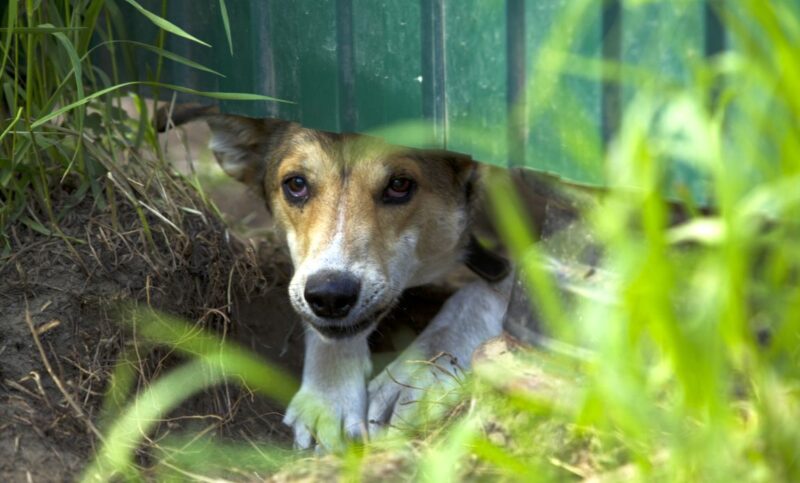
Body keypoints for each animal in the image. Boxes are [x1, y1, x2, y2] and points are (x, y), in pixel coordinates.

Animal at [160, 108, 516, 450]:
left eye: (400, 185)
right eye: (296, 184)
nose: (330, 296)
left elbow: (485, 292)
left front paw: (415, 375)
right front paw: (327, 398)